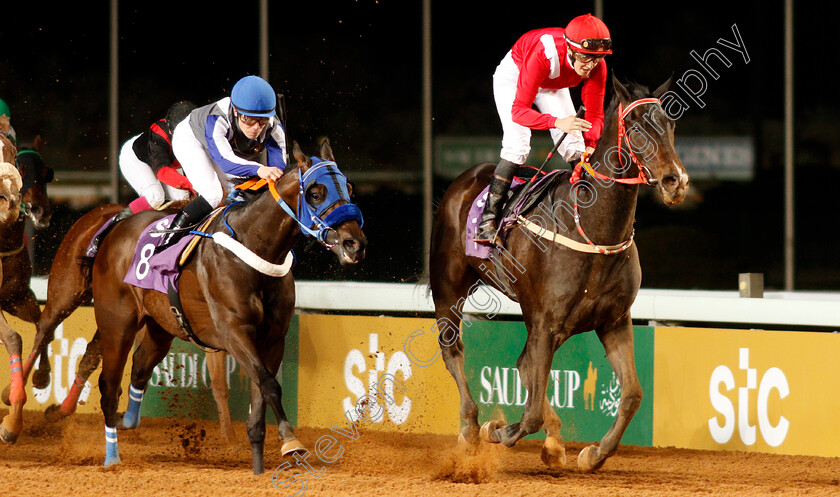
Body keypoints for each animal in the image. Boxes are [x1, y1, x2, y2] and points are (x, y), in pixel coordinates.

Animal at [88, 138, 364, 470]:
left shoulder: (272, 339)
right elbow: (269, 384)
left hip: (160, 325)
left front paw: (260, 455)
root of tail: (116, 229)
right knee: (108, 385)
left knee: (140, 365)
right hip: (117, 324)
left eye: (349, 187)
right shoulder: (234, 331)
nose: (354, 244)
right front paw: (291, 439)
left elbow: (262, 388)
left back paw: (129, 420)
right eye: (315, 193)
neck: (255, 245)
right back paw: (112, 456)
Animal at [430, 75, 684, 470]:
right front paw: (499, 429)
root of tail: (465, 179)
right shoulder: (547, 321)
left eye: (670, 124)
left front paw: (594, 453)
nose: (676, 180)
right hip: (449, 287)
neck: (594, 230)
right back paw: (472, 425)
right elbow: (530, 411)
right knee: (453, 349)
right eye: (636, 126)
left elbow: (632, 394)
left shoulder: (612, 320)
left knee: (524, 365)